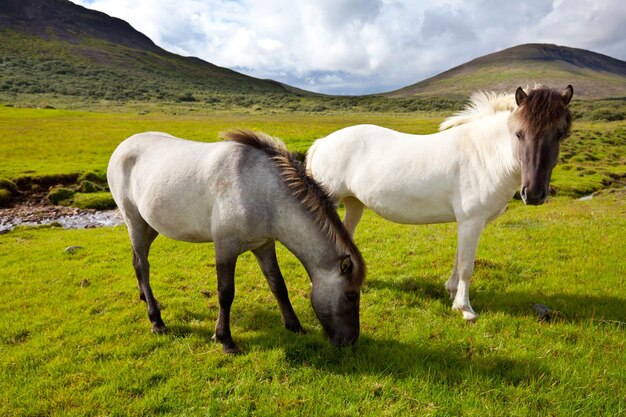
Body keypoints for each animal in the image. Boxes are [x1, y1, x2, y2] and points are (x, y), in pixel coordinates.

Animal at [105, 129, 364, 352]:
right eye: (351, 295)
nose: (351, 341)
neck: (264, 191)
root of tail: (122, 147)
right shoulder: (225, 248)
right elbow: (225, 293)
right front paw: (225, 340)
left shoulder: (263, 245)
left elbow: (278, 285)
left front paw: (294, 325)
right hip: (135, 221)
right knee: (142, 265)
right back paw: (156, 320)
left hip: (150, 226)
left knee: (138, 262)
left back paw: (148, 300)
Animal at [304, 83, 572, 318]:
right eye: (518, 134)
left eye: (560, 134)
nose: (534, 194)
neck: (484, 154)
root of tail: (323, 142)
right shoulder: (471, 221)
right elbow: (466, 265)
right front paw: (465, 309)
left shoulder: (469, 223)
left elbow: (460, 258)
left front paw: (452, 292)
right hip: (331, 201)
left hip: (354, 203)